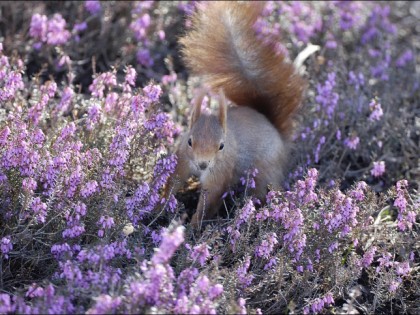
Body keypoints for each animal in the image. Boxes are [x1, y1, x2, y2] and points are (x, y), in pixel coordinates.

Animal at [167, 1, 306, 228]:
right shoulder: (183, 159)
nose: (203, 164)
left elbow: (209, 200)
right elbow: (172, 181)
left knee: (262, 190)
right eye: (189, 141)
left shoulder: (221, 171)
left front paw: (192, 227)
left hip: (265, 171)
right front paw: (154, 206)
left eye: (221, 146)